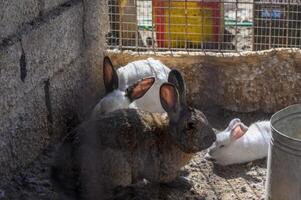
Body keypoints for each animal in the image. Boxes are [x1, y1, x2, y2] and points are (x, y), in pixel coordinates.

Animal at [52, 69, 216, 200]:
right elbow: (167, 180)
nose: (213, 138)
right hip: (118, 169)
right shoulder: (162, 170)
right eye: (191, 125)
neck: (170, 135)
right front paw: (185, 182)